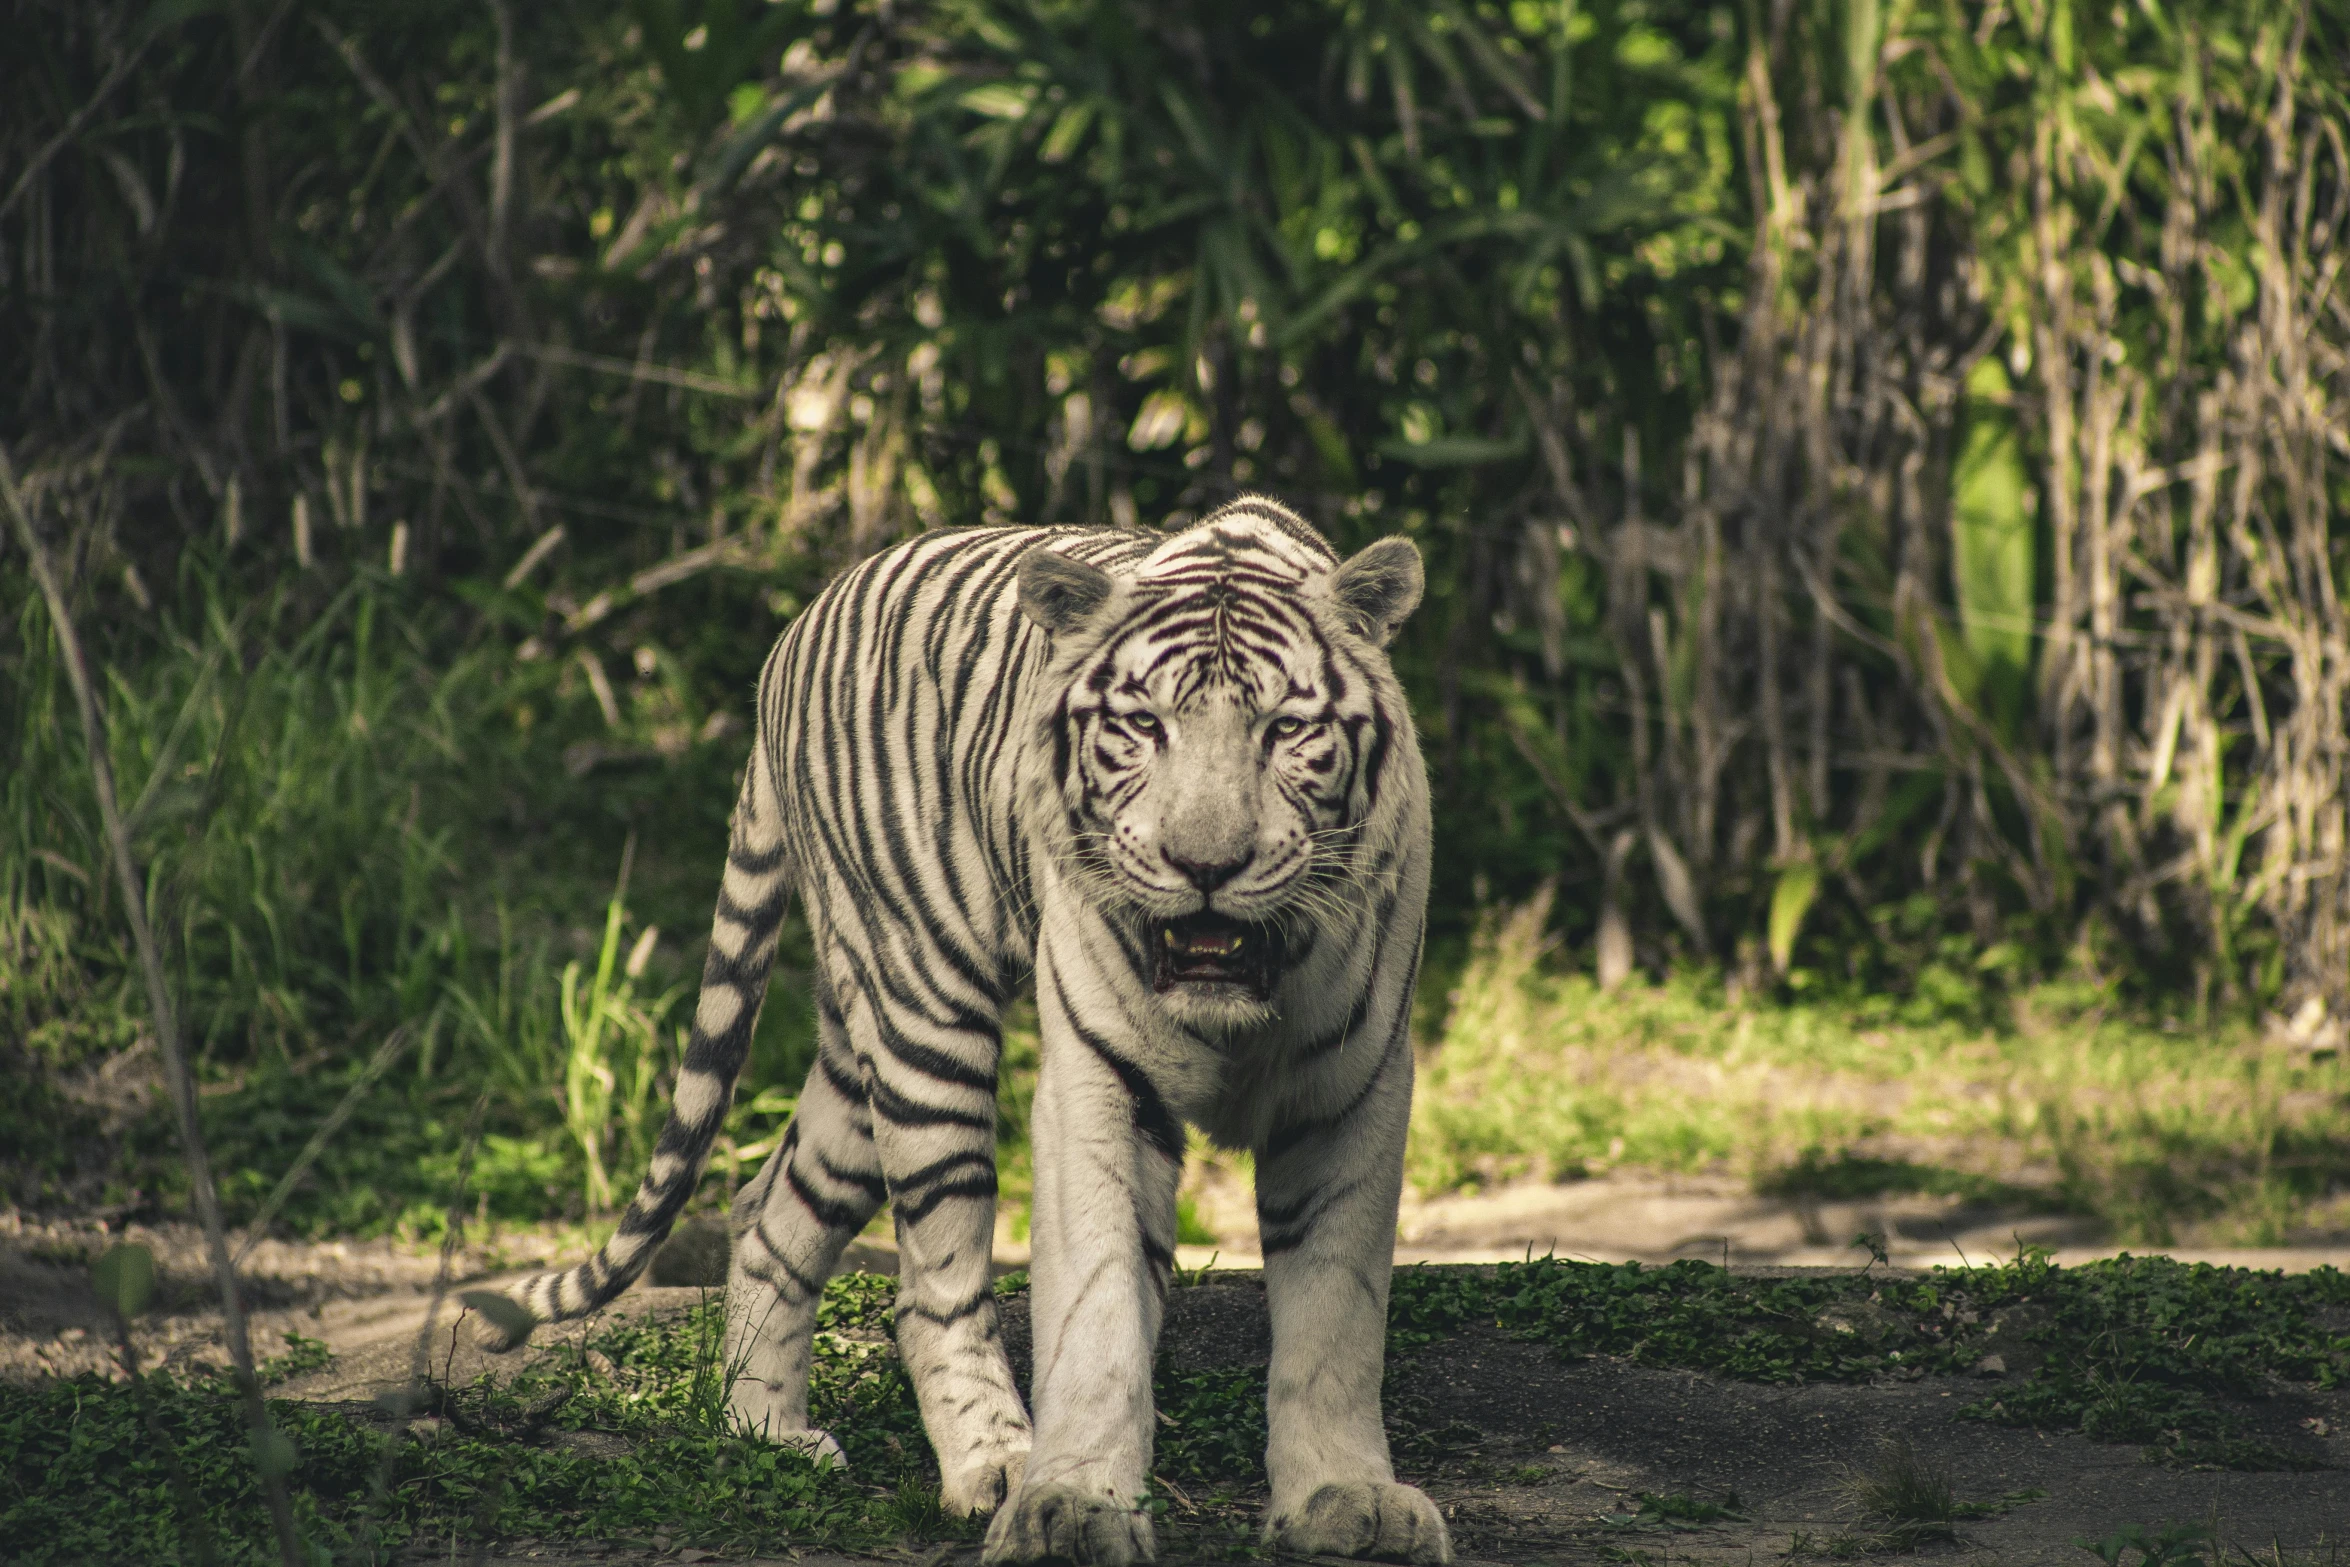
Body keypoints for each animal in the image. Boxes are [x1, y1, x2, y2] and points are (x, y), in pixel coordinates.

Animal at [493, 495, 1438, 1559]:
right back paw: (993, 1465)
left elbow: (1336, 1315)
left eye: (1286, 730)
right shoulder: (1097, 1082)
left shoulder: (1353, 1087)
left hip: (855, 1040)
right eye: (1143, 726)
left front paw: (1346, 1499)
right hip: (920, 1012)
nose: (1205, 864)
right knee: (930, 1286)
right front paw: (1073, 1504)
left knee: (771, 1207)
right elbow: (1099, 1306)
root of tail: (793, 632)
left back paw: (764, 1431)